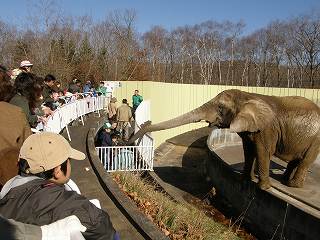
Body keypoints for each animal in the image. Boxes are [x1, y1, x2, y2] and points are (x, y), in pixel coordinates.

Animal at [128, 89, 320, 190]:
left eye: (220, 108)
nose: (145, 123)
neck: (248, 95)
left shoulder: (267, 129)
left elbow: (263, 151)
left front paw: (263, 188)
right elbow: (249, 150)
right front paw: (245, 180)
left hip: (316, 139)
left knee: (305, 160)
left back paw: (293, 186)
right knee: (296, 160)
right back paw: (286, 182)